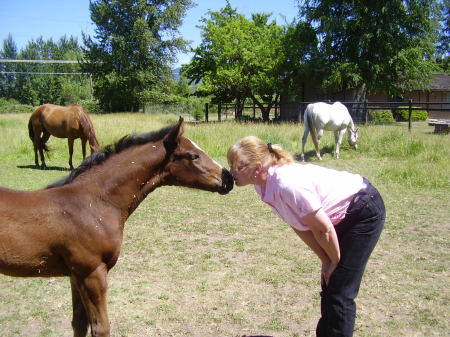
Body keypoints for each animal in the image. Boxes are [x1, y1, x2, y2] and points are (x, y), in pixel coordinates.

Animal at [0, 117, 232, 336]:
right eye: (193, 155)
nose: (228, 178)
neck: (93, 204)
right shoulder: (92, 272)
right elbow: (100, 328)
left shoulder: (76, 275)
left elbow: (79, 324)